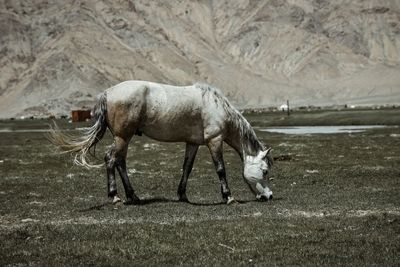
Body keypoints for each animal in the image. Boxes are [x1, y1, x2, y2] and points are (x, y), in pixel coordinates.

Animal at [48, 80, 274, 206]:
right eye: (264, 171)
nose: (269, 196)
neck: (216, 105)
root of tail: (108, 93)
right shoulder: (214, 141)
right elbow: (220, 169)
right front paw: (228, 197)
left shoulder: (192, 143)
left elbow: (187, 168)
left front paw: (182, 195)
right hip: (122, 137)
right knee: (111, 159)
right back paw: (115, 196)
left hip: (125, 138)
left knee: (120, 162)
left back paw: (133, 196)